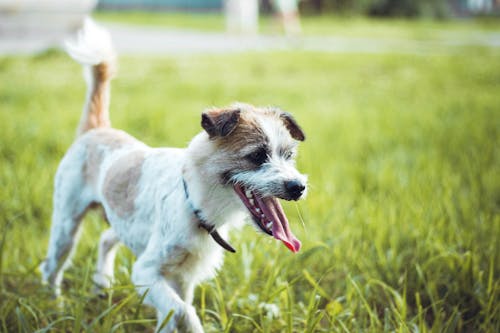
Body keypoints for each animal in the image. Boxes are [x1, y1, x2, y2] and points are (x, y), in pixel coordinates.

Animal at [42, 19, 308, 330]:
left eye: (289, 155)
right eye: (256, 156)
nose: (298, 187)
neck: (192, 201)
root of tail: (97, 129)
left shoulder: (182, 277)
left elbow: (177, 309)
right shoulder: (146, 272)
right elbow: (183, 311)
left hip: (122, 225)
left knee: (106, 238)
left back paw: (101, 284)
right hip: (66, 226)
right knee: (51, 266)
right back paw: (55, 304)